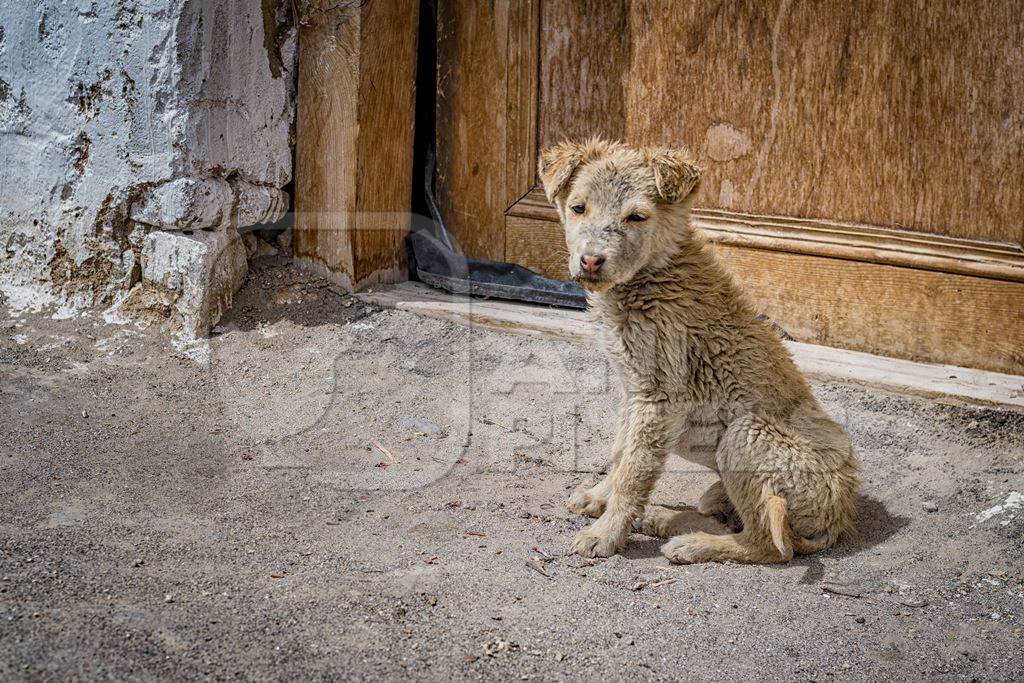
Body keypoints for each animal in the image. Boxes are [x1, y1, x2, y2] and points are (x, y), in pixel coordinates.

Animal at [540, 139, 860, 565]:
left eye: (636, 217)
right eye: (578, 208)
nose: (591, 261)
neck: (655, 275)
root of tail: (838, 520)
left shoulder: (659, 397)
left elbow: (634, 472)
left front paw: (605, 533)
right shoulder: (633, 390)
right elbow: (621, 452)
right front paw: (598, 498)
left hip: (746, 436)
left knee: (771, 545)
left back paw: (690, 541)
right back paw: (670, 516)